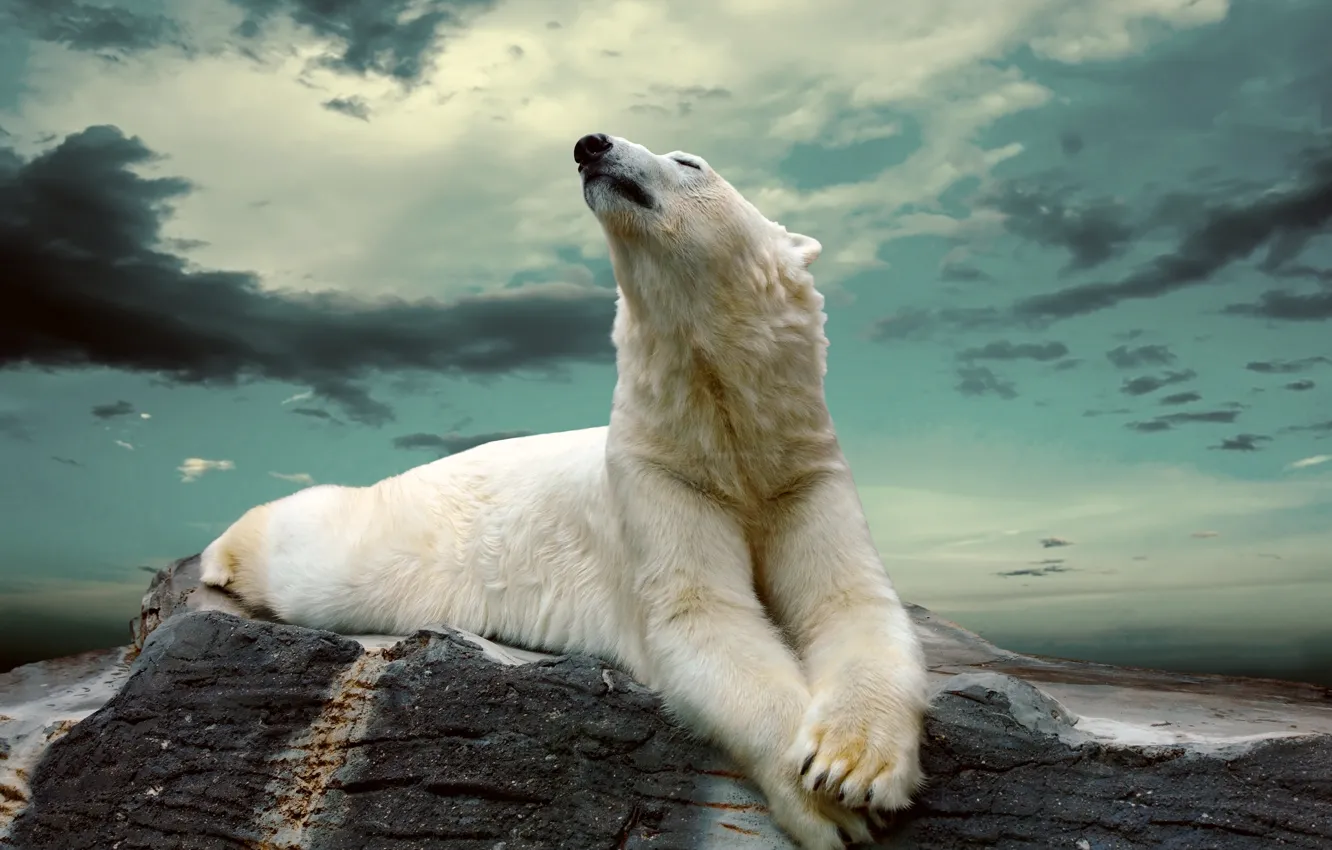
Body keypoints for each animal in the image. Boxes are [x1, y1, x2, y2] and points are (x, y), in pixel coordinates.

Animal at [200, 133, 929, 850]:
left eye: (690, 161)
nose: (591, 144)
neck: (724, 432)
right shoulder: (656, 476)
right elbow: (703, 618)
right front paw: (827, 802)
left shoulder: (801, 471)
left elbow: (851, 602)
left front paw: (852, 765)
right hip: (401, 538)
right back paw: (220, 555)